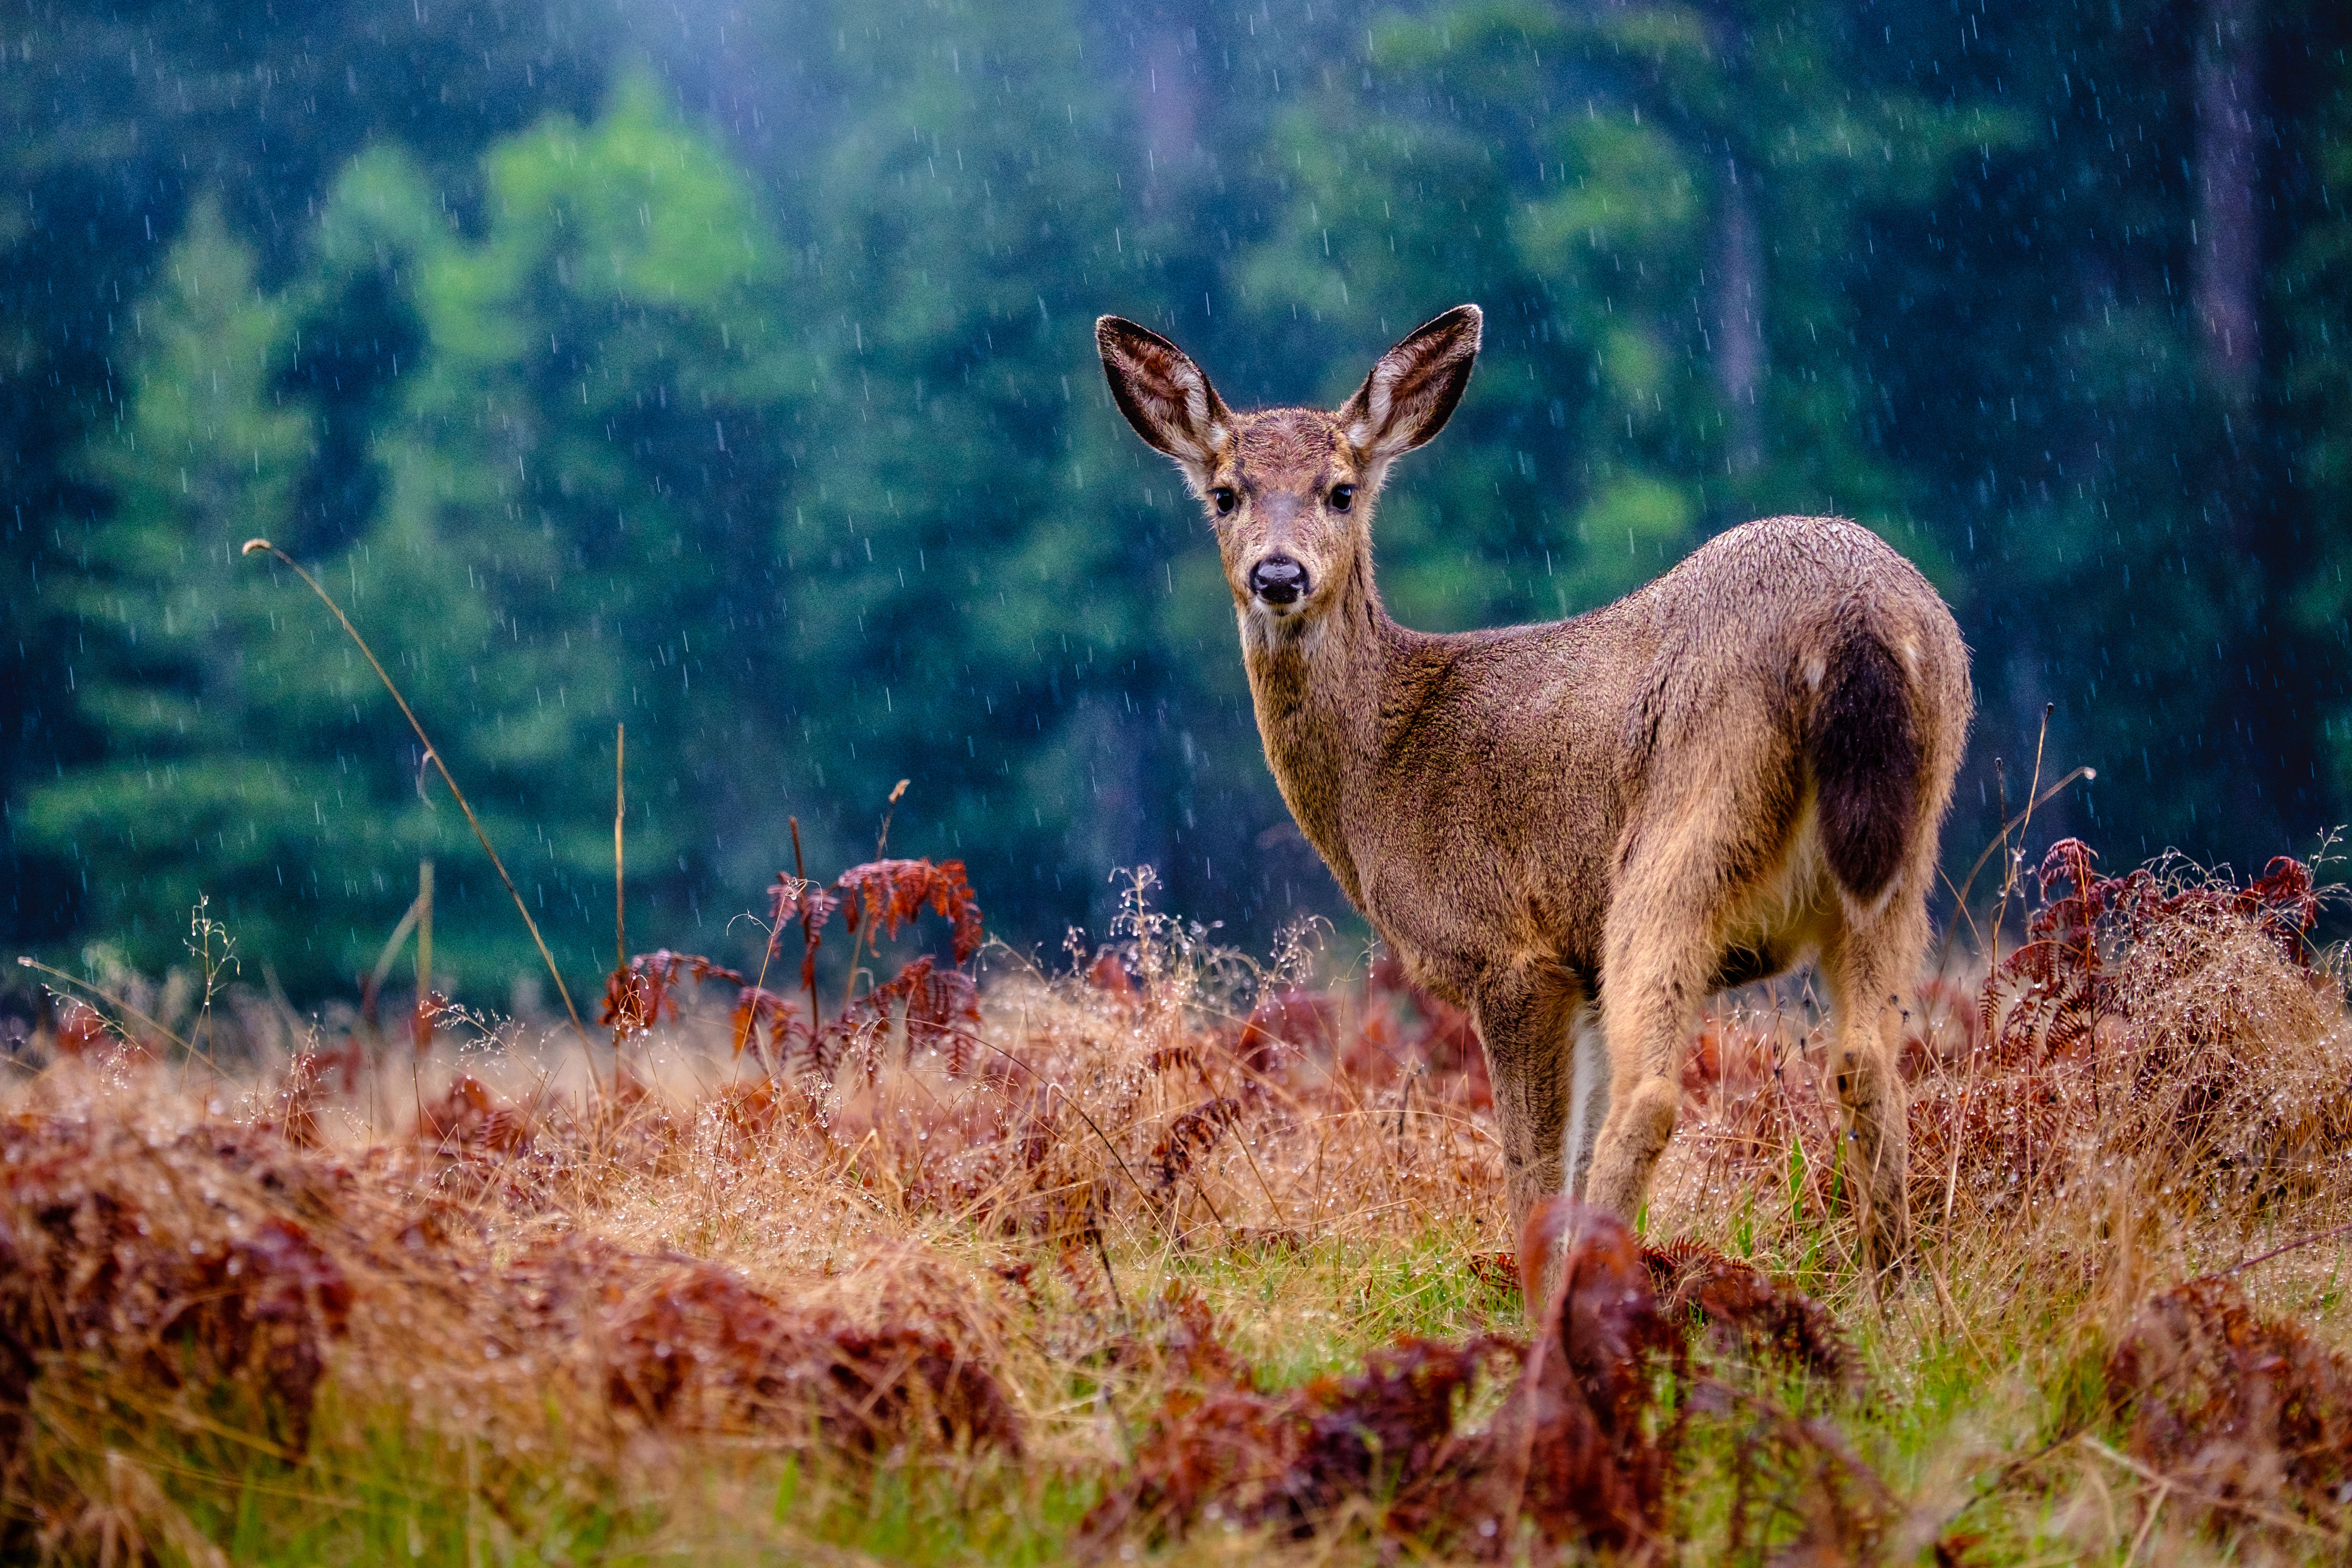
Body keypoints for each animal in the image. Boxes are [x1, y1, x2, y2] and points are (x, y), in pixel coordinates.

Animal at [1096, 301, 1966, 1298]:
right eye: (1226, 493)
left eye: (1341, 490)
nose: (1279, 575)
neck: (1382, 769)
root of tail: (1854, 615)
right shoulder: (1574, 970)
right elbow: (1564, 1156)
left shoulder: (1508, 950)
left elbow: (1531, 1168)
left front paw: (1533, 1291)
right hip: (1902, 849)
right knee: (1867, 1059)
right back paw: (1894, 1291)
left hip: (1682, 831)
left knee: (1654, 1091)